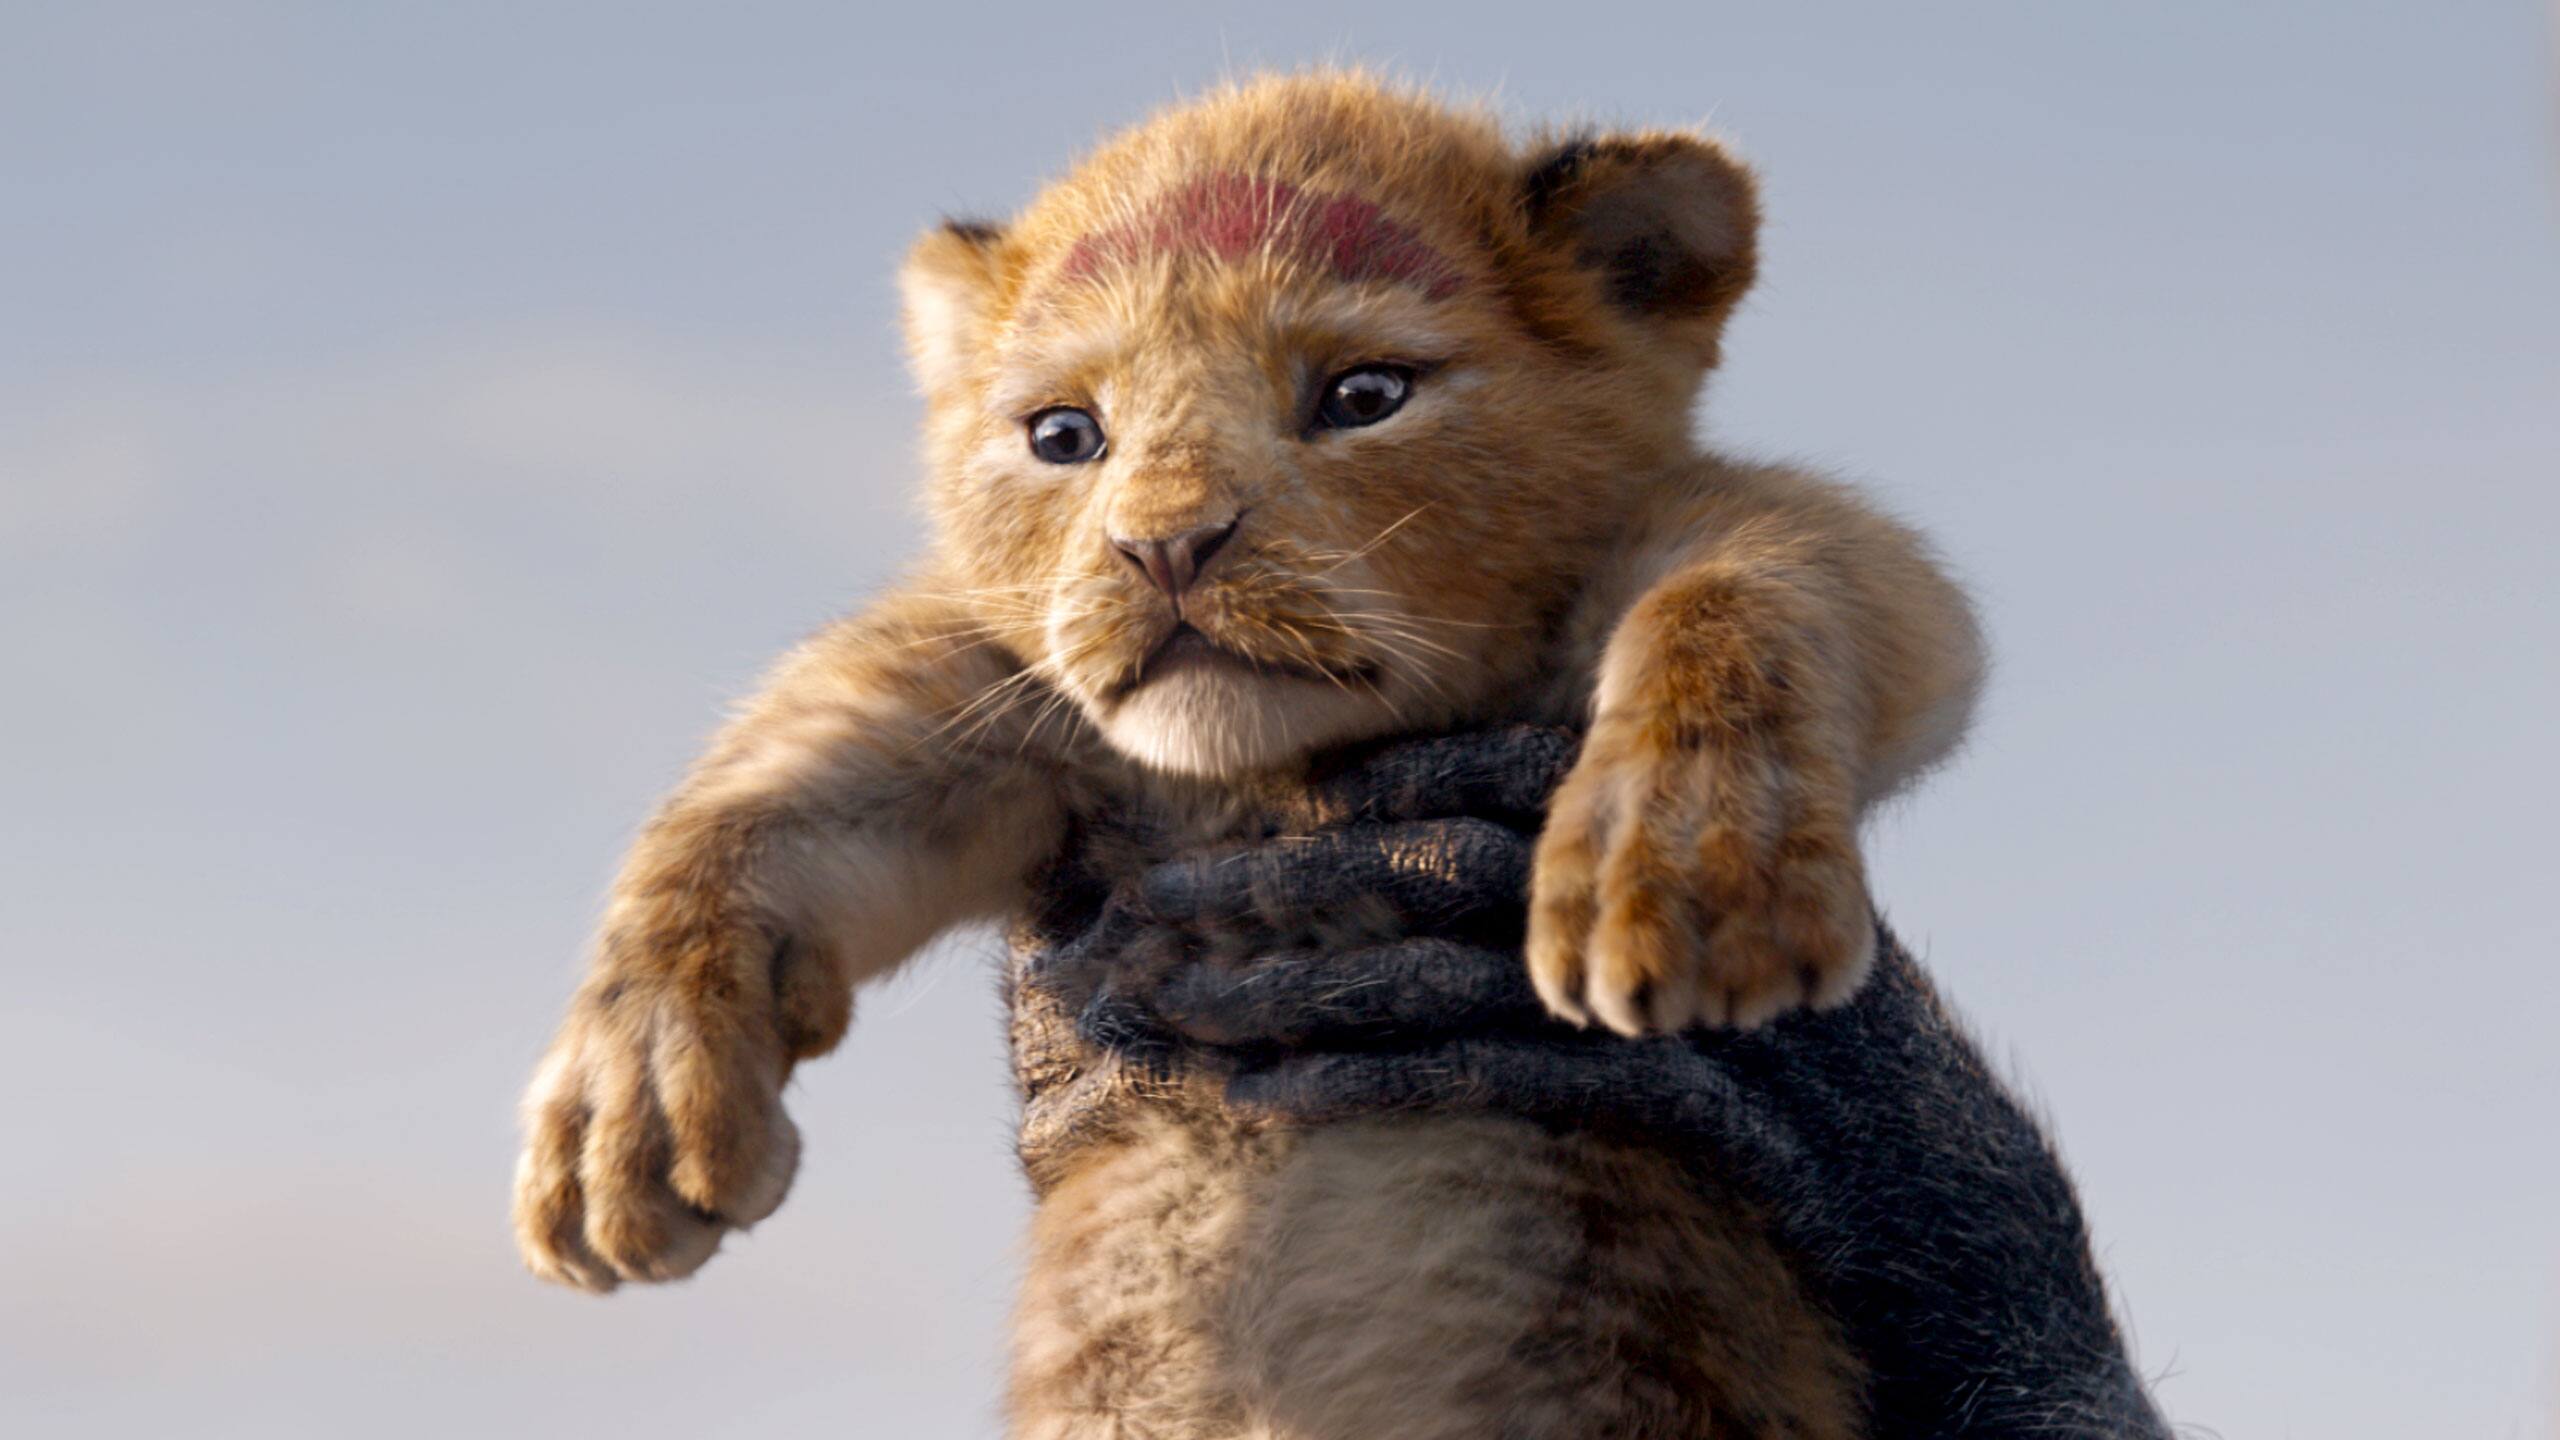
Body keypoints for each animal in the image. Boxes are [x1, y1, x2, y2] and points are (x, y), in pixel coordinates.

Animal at [512, 72, 1984, 1438]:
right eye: (1064, 435)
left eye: (1364, 395)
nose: (1164, 546)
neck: (1258, 789)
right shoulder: (1007, 705)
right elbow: (762, 793)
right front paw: (623, 1117)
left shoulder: (1760, 555)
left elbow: (1751, 588)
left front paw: (1685, 875)